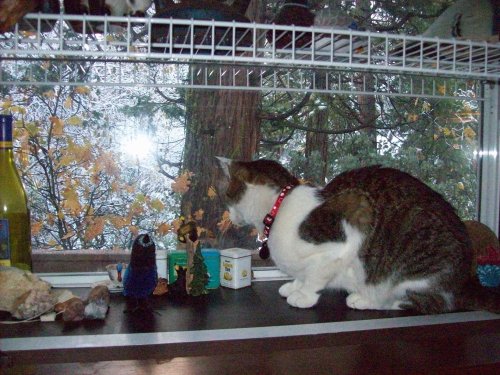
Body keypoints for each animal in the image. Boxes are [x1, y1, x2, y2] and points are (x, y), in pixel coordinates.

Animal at [218, 157, 500, 316]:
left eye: (227, 196)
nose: (228, 214)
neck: (278, 208)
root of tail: (468, 279)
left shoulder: (349, 226)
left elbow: (315, 276)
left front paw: (304, 295)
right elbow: (302, 273)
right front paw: (294, 285)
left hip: (416, 277)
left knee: (428, 304)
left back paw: (367, 300)